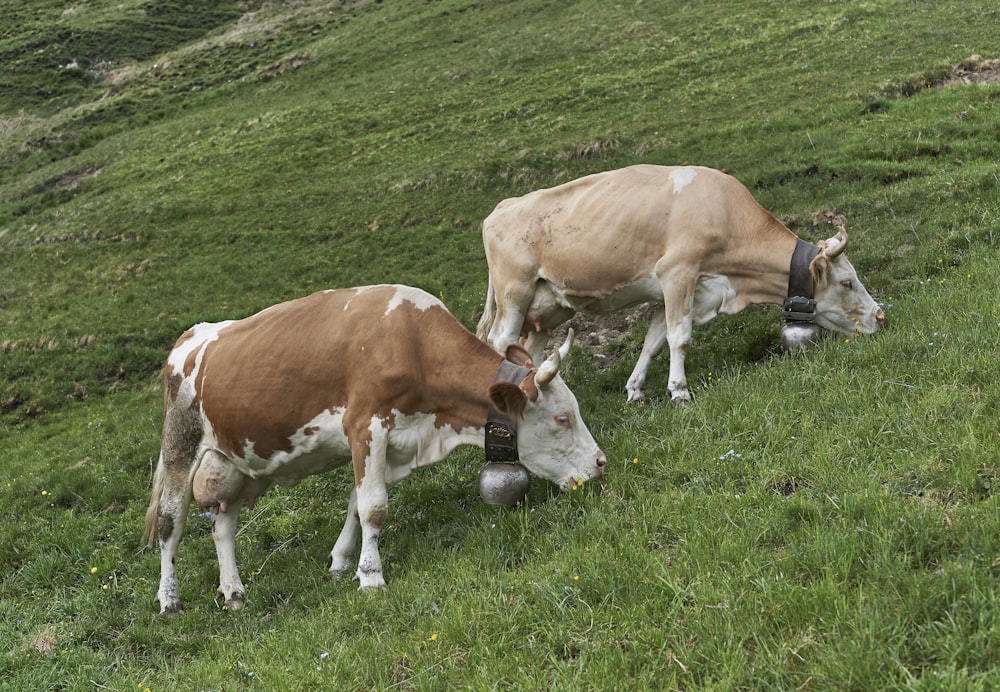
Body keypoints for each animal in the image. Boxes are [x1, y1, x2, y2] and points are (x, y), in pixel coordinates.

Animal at [144, 284, 604, 612]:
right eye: (562, 418)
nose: (601, 463)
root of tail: (192, 335)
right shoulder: (365, 426)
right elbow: (374, 507)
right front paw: (370, 576)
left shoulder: (392, 442)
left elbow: (356, 502)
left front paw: (341, 561)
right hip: (181, 447)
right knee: (170, 525)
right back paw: (169, 599)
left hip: (236, 463)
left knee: (223, 526)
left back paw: (234, 591)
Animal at [480, 163, 888, 402]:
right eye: (847, 282)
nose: (881, 316)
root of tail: (502, 206)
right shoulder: (678, 273)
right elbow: (680, 337)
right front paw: (679, 391)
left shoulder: (670, 292)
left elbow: (653, 341)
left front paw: (636, 390)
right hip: (514, 294)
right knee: (499, 340)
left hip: (547, 311)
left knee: (527, 352)